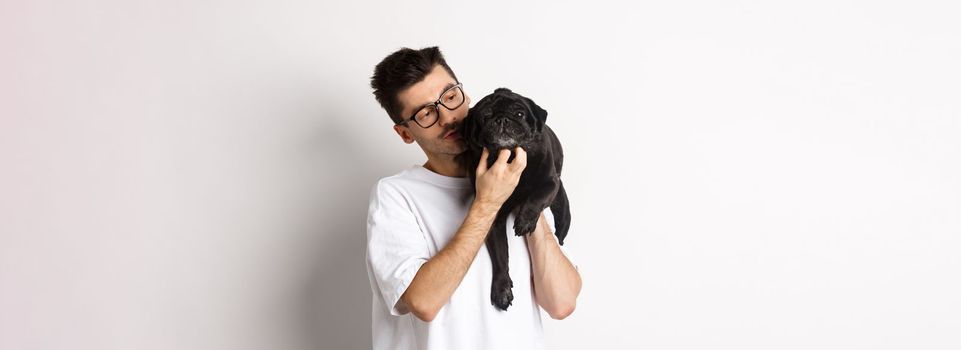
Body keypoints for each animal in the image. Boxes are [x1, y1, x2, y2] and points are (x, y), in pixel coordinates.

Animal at [458, 87, 568, 308]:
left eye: (519, 114)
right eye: (485, 116)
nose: (502, 119)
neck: (508, 157)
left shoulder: (549, 183)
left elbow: (537, 198)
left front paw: (525, 221)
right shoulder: (494, 219)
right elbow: (501, 257)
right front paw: (502, 289)